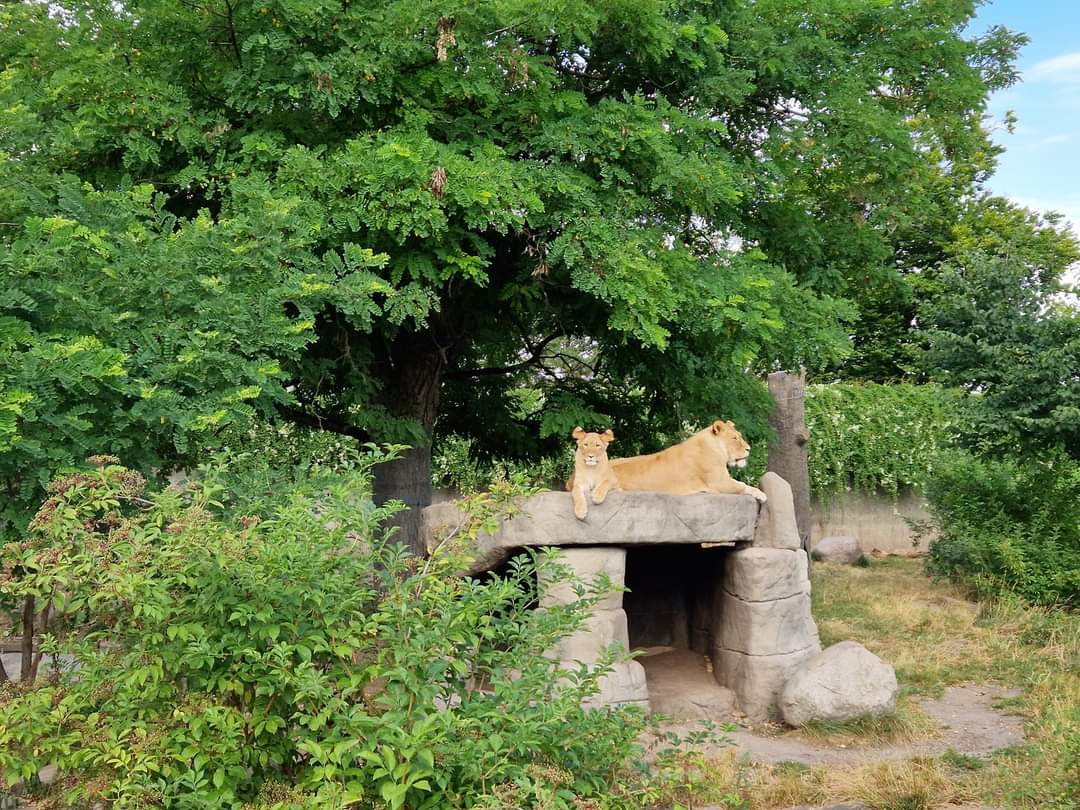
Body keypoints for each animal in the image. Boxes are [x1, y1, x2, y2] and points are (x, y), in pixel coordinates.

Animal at [609, 419, 767, 502]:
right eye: (734, 438)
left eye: (739, 436)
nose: (749, 449)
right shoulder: (719, 482)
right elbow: (744, 485)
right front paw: (762, 495)